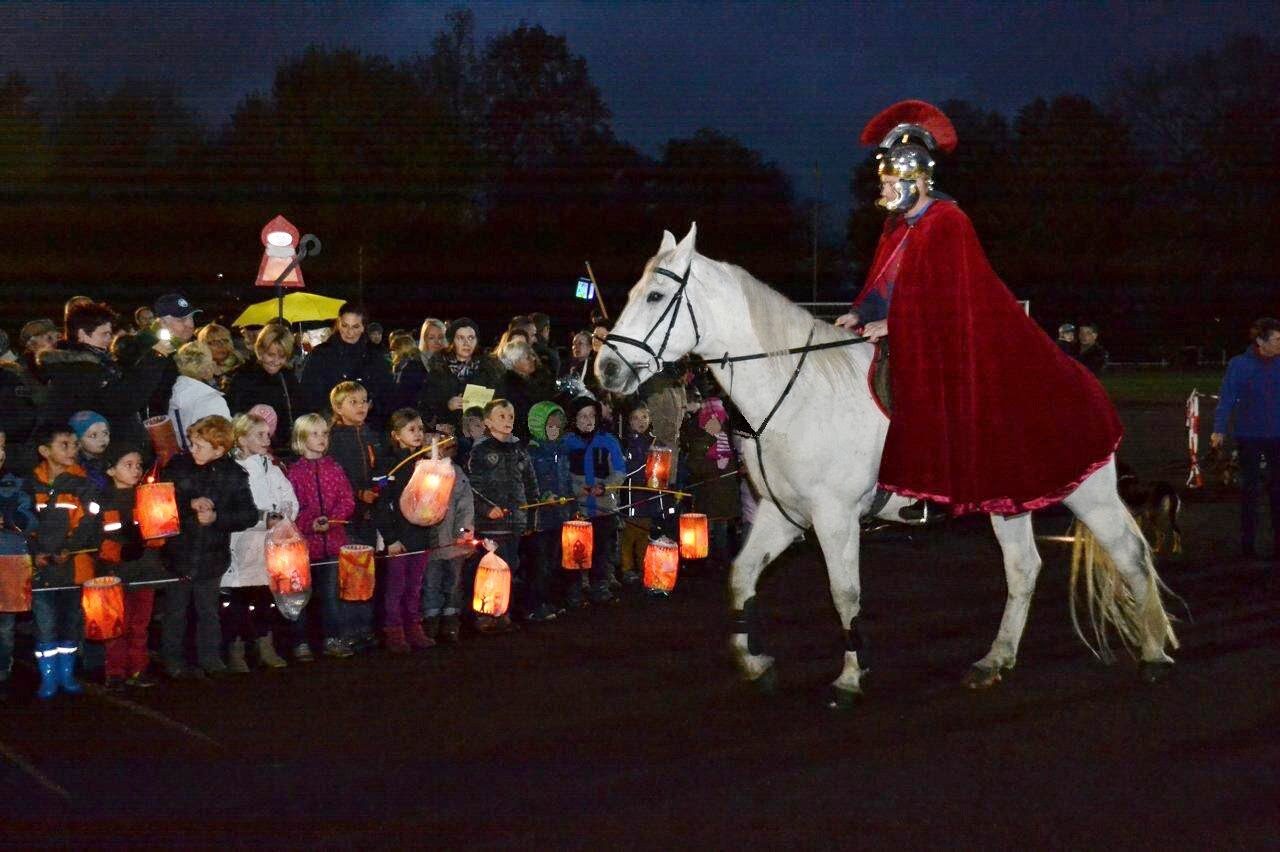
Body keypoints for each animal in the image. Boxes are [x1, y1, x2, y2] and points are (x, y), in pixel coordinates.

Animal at [593, 223, 1172, 701]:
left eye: (657, 295)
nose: (604, 370)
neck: (797, 389)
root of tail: (1080, 375)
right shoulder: (784, 516)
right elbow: (741, 576)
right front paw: (755, 664)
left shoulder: (835, 517)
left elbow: (845, 593)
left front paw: (850, 678)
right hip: (1011, 502)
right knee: (1024, 568)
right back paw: (994, 661)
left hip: (1089, 491)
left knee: (1130, 553)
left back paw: (1151, 655)